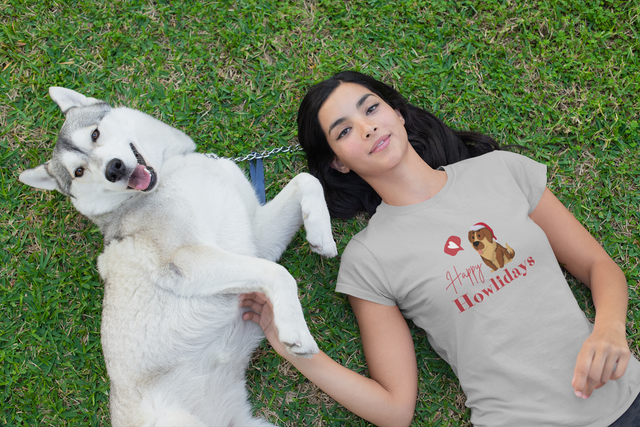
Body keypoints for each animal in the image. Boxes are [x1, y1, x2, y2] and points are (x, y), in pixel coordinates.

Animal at [17, 88, 338, 427]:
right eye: (79, 172)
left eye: (95, 134)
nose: (113, 169)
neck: (169, 169)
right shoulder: (186, 260)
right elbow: (279, 274)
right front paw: (295, 330)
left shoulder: (256, 241)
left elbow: (306, 179)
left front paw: (321, 232)